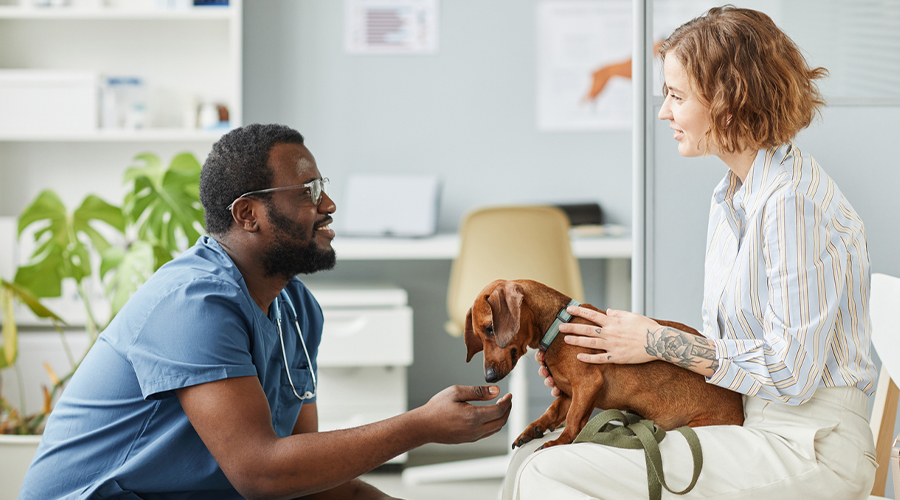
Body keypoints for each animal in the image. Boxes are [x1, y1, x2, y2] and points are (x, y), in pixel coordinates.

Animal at [464, 278, 744, 450]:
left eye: (490, 329)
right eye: (479, 334)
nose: (489, 377)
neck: (557, 325)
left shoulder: (587, 384)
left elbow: (573, 419)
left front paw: (561, 441)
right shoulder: (568, 394)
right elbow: (553, 411)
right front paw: (533, 429)